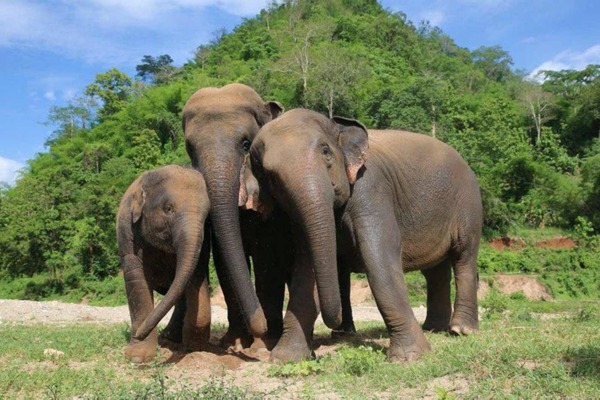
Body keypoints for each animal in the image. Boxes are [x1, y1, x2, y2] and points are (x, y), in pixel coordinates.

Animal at [116, 164, 211, 364]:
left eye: (207, 216)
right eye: (168, 208)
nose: (138, 334)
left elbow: (195, 274)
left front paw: (195, 346)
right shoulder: (127, 231)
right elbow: (136, 280)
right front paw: (137, 357)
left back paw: (170, 337)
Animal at [180, 83, 288, 348]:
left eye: (246, 144)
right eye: (190, 149)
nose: (261, 327)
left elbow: (266, 258)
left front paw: (262, 345)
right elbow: (223, 260)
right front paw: (234, 342)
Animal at [248, 108, 482, 362]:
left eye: (326, 151)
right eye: (271, 176)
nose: (336, 326)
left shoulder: (370, 187)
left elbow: (380, 255)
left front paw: (409, 357)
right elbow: (306, 269)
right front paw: (284, 358)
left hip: (468, 203)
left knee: (463, 257)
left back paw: (460, 330)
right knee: (435, 271)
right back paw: (433, 328)